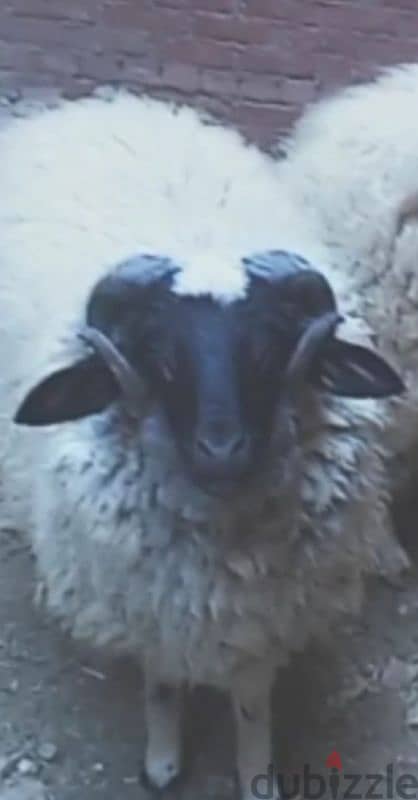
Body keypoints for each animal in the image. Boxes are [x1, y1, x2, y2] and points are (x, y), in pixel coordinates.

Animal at [0, 91, 408, 800]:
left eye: (268, 351)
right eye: (160, 358)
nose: (223, 449)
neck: (224, 552)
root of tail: (84, 105)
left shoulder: (266, 617)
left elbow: (251, 702)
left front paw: (257, 776)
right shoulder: (149, 604)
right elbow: (162, 682)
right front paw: (163, 761)